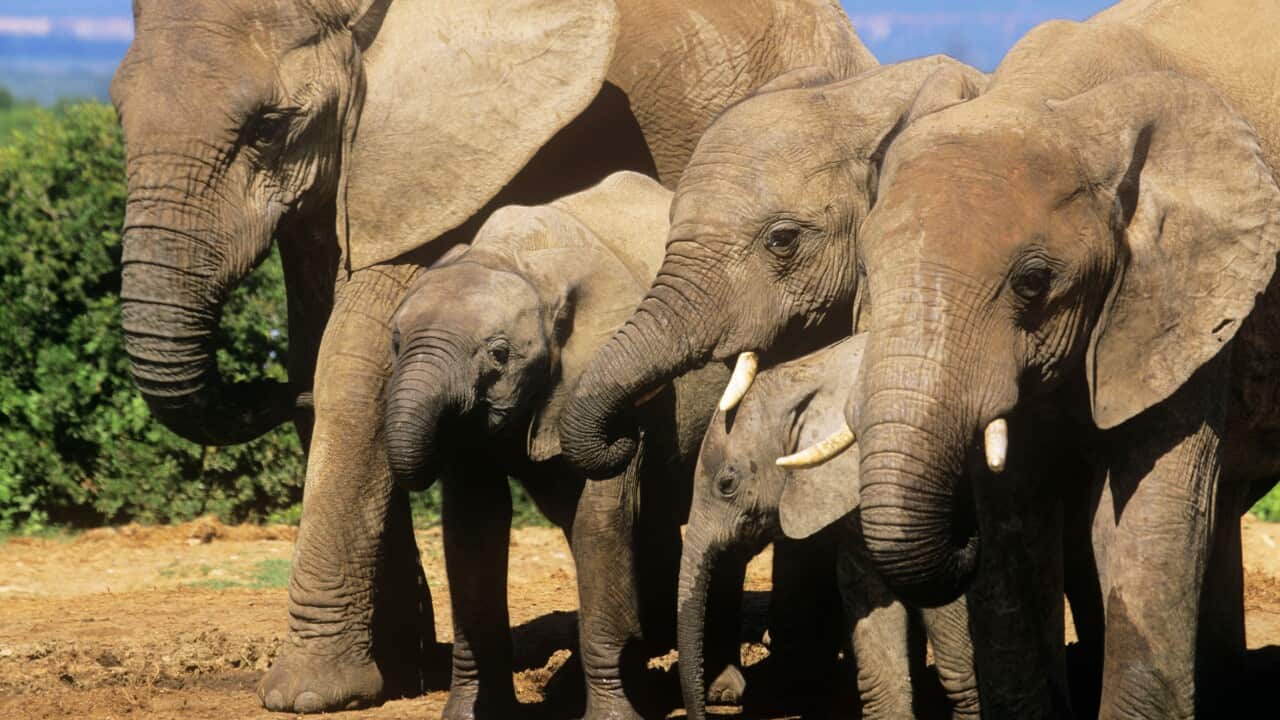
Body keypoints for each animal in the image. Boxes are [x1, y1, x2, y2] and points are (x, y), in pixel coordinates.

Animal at [384, 171, 747, 719]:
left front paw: (613, 716)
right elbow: (473, 523)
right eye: (395, 344)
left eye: (499, 354)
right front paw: (471, 713)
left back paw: (719, 690)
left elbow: (599, 515)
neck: (517, 258)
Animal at [781, 1, 1280, 717]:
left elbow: (1148, 521)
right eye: (867, 274)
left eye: (1034, 282)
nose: (959, 536)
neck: (1056, 100)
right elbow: (1015, 523)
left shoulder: (1187, 298)